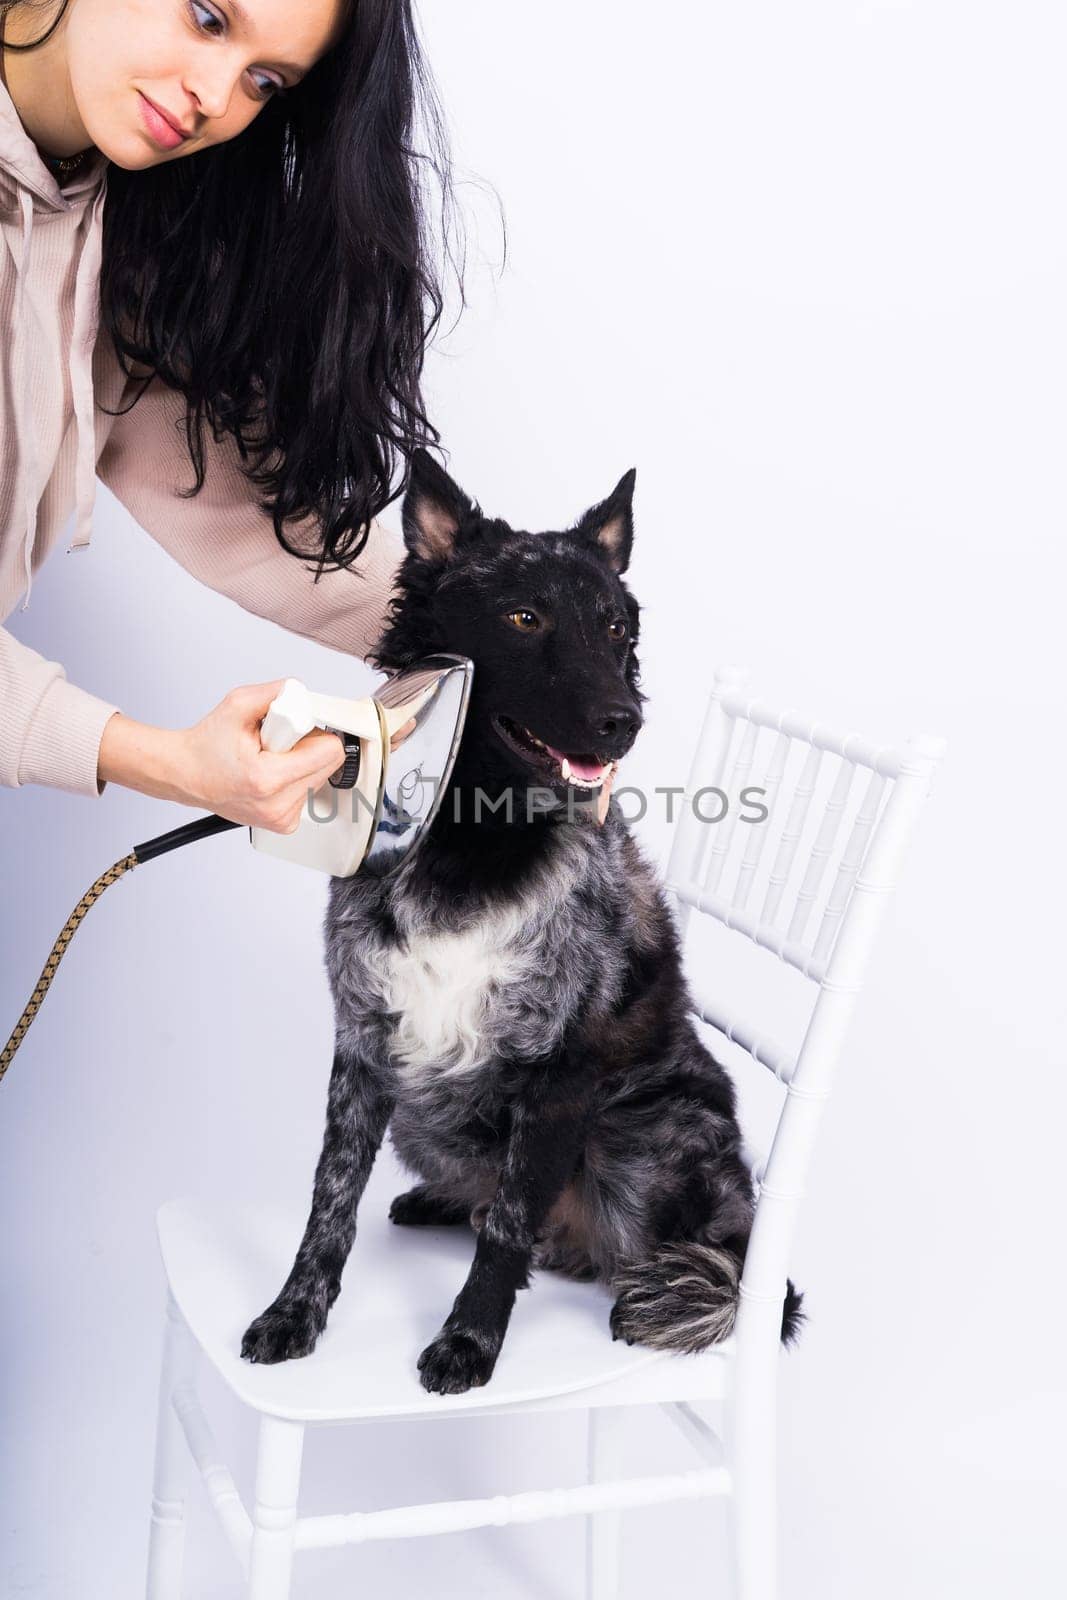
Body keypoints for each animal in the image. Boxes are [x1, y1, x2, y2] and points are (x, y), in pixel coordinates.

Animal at [241, 448, 806, 1388]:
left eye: (616, 630)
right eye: (523, 616)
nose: (623, 722)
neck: (480, 838)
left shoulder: (561, 1071)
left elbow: (508, 1227)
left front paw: (468, 1340)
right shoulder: (364, 1044)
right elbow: (330, 1198)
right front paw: (294, 1312)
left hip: (647, 1135)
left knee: (690, 1253)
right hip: (422, 1116)